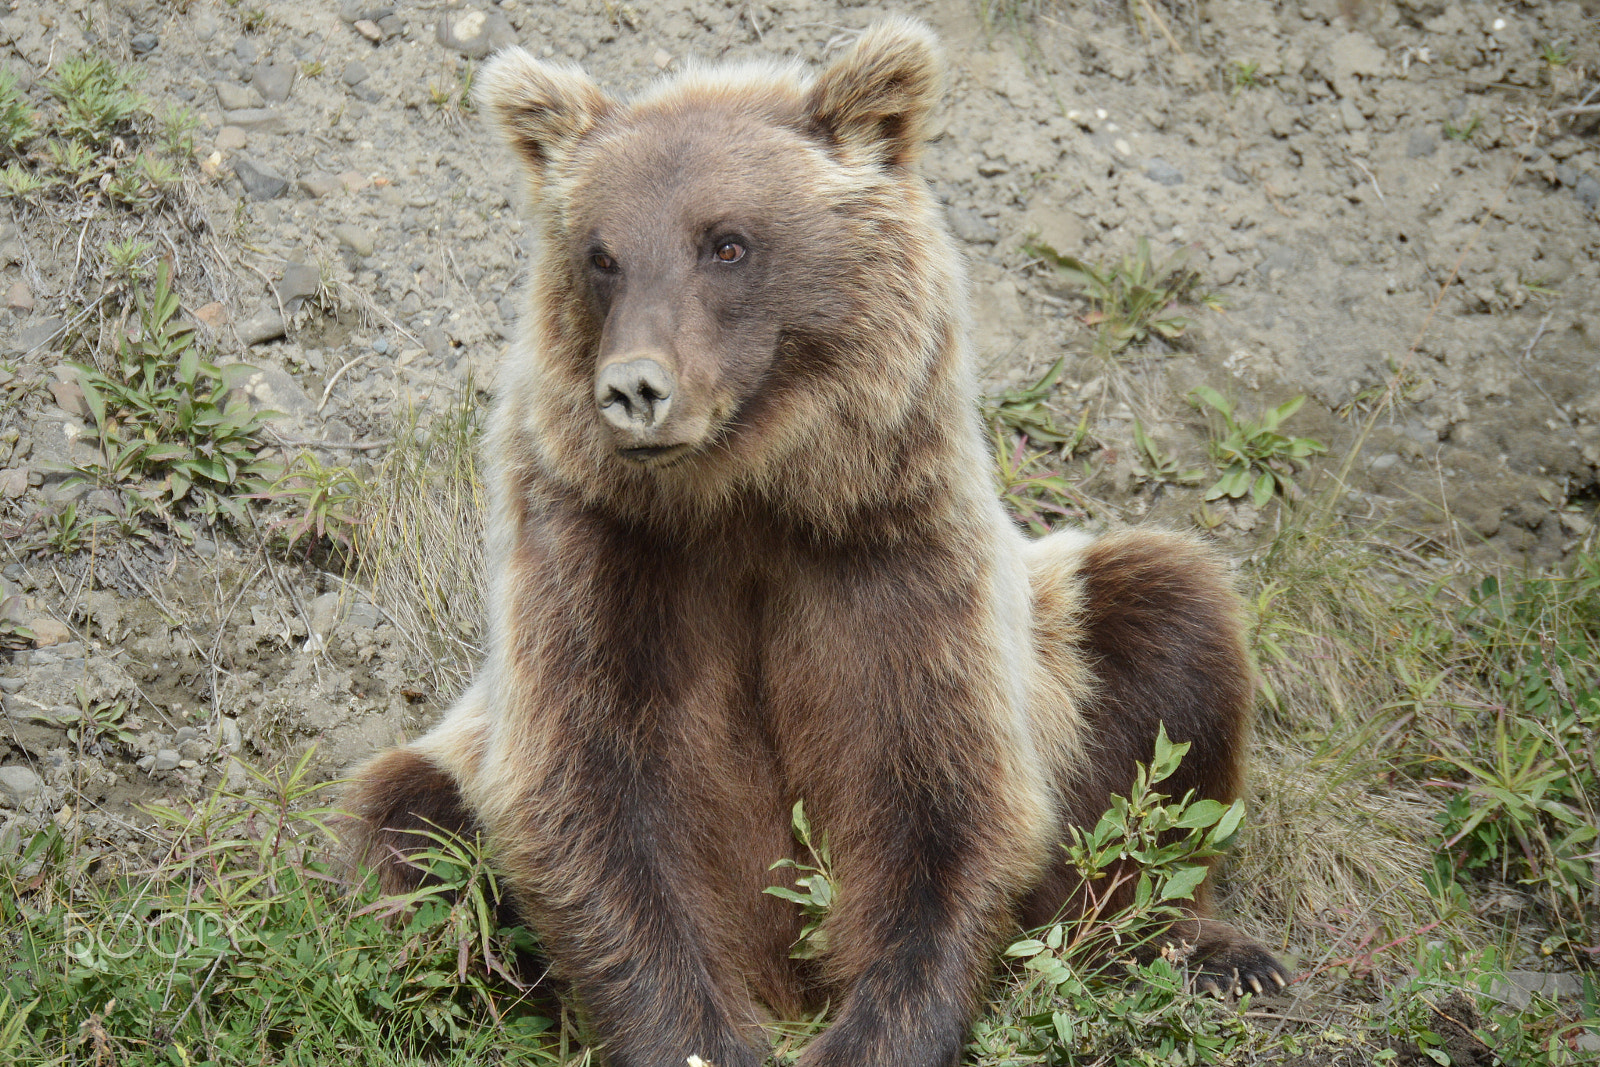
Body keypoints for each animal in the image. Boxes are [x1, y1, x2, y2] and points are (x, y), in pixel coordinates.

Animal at [341, 18, 1288, 1067]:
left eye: (726, 242)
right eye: (602, 255)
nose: (635, 388)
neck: (746, 491)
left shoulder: (893, 551)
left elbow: (941, 796)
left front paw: (880, 1030)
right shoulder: (598, 549)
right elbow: (592, 801)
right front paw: (697, 1035)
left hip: (1061, 648)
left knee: (1171, 633)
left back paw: (1209, 949)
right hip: (451, 765)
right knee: (412, 825)